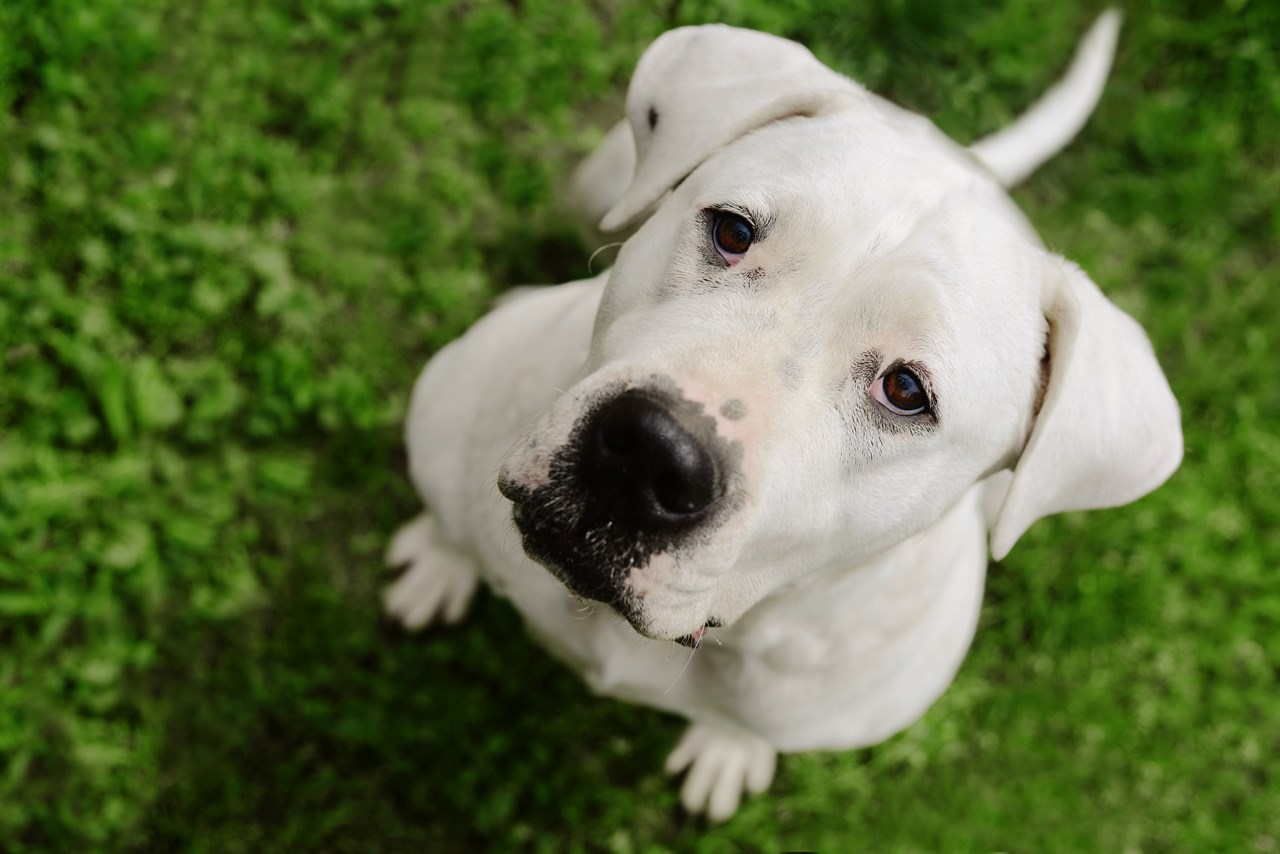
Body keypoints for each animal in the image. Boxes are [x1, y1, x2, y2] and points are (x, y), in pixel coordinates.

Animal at [386, 11, 1177, 819]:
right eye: (732, 231)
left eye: (907, 391)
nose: (651, 455)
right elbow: (451, 520)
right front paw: (441, 559)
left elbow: (747, 727)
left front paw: (729, 748)